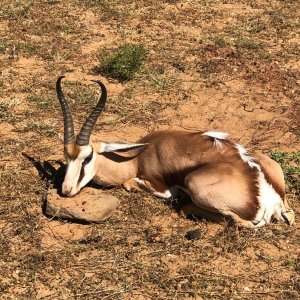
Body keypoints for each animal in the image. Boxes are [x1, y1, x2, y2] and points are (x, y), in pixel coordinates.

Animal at [56, 77, 296, 227]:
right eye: (66, 156)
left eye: (87, 157)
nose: (66, 191)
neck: (138, 157)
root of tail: (266, 194)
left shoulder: (160, 187)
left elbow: (131, 184)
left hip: (194, 183)